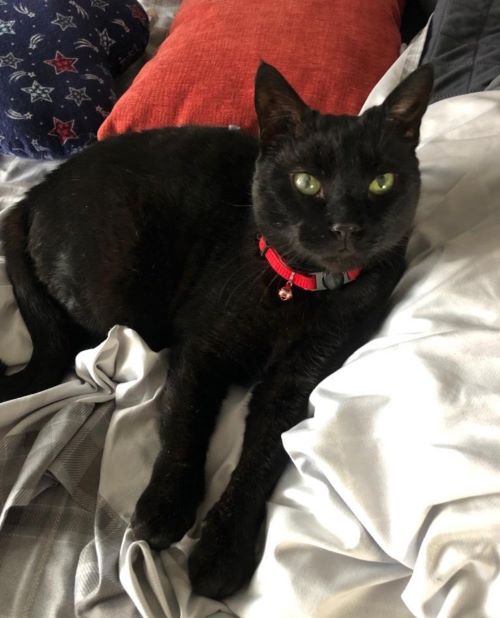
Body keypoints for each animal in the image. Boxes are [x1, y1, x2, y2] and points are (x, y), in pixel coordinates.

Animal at [0, 62, 433, 599]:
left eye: (381, 182)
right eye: (306, 182)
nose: (346, 226)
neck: (294, 293)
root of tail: (32, 194)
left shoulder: (294, 382)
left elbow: (262, 456)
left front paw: (223, 552)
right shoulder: (201, 351)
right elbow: (185, 427)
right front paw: (165, 509)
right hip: (118, 292)